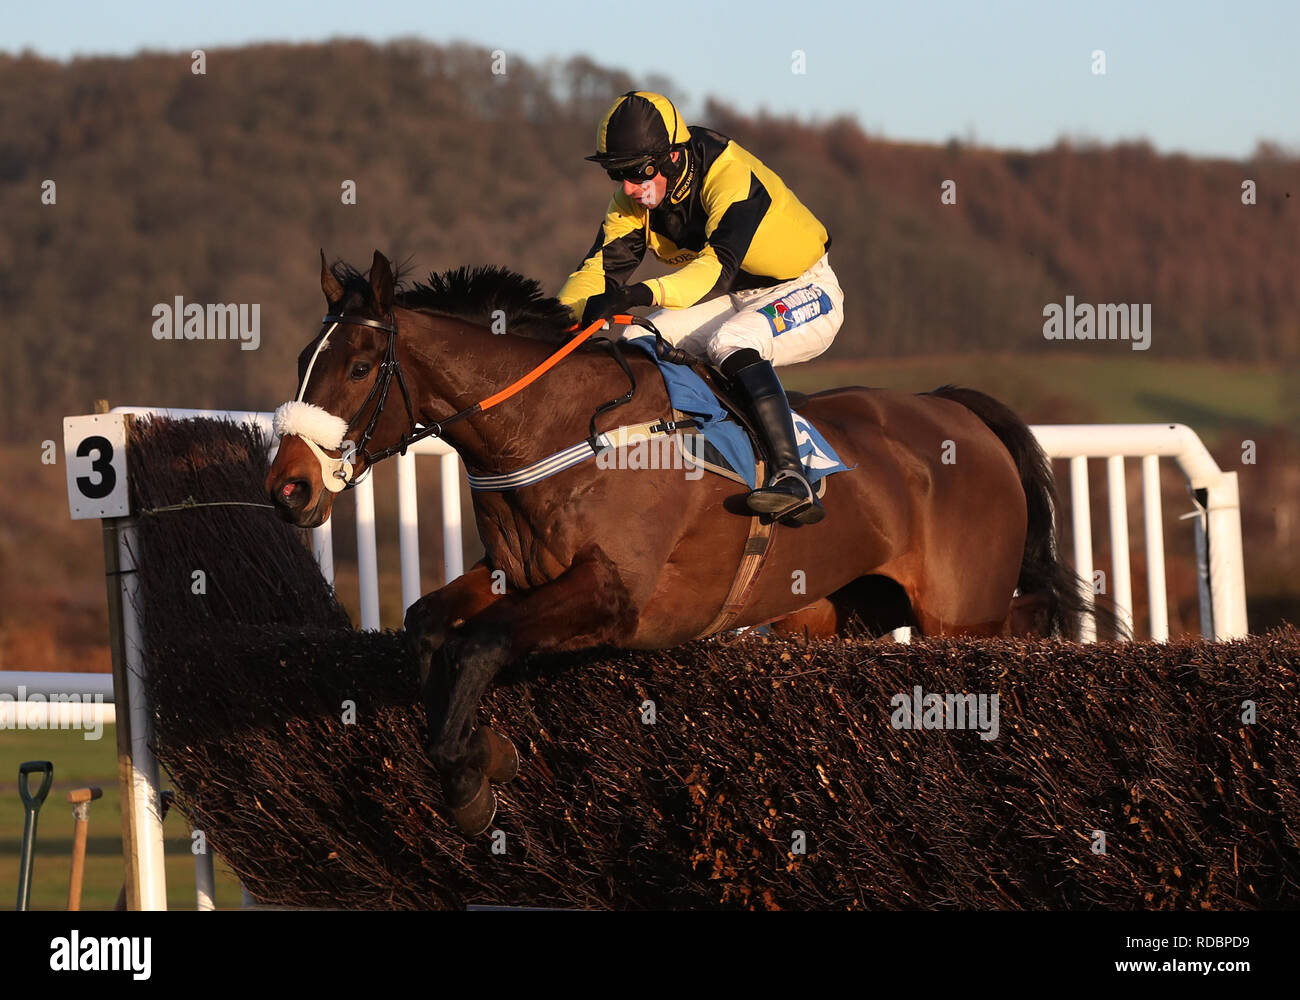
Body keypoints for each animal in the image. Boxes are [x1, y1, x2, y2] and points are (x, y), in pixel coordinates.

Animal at [269, 249, 1092, 832]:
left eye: (360, 366)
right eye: (303, 361)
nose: (289, 487)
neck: (556, 427)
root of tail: (958, 411)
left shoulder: (617, 596)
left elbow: (481, 644)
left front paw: (475, 772)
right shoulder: (516, 575)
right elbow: (429, 624)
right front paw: (472, 760)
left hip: (962, 616)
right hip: (839, 613)